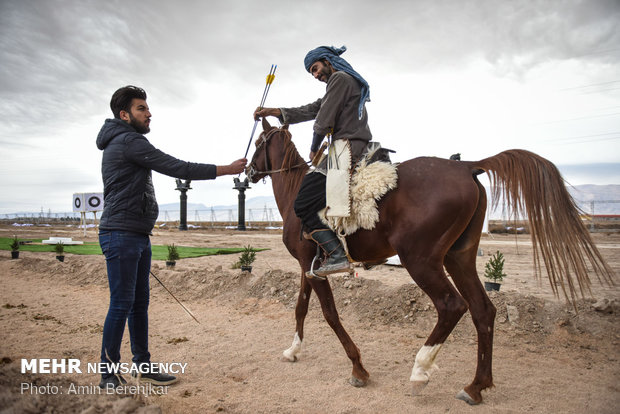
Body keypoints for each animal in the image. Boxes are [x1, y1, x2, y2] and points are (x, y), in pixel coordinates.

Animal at [245, 119, 612, 404]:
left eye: (259, 143)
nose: (245, 172)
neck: (295, 193)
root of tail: (464, 165)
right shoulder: (309, 266)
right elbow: (301, 307)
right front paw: (293, 351)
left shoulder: (315, 267)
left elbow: (330, 315)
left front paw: (358, 369)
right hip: (458, 258)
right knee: (483, 310)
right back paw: (476, 387)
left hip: (420, 260)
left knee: (452, 305)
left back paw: (420, 370)